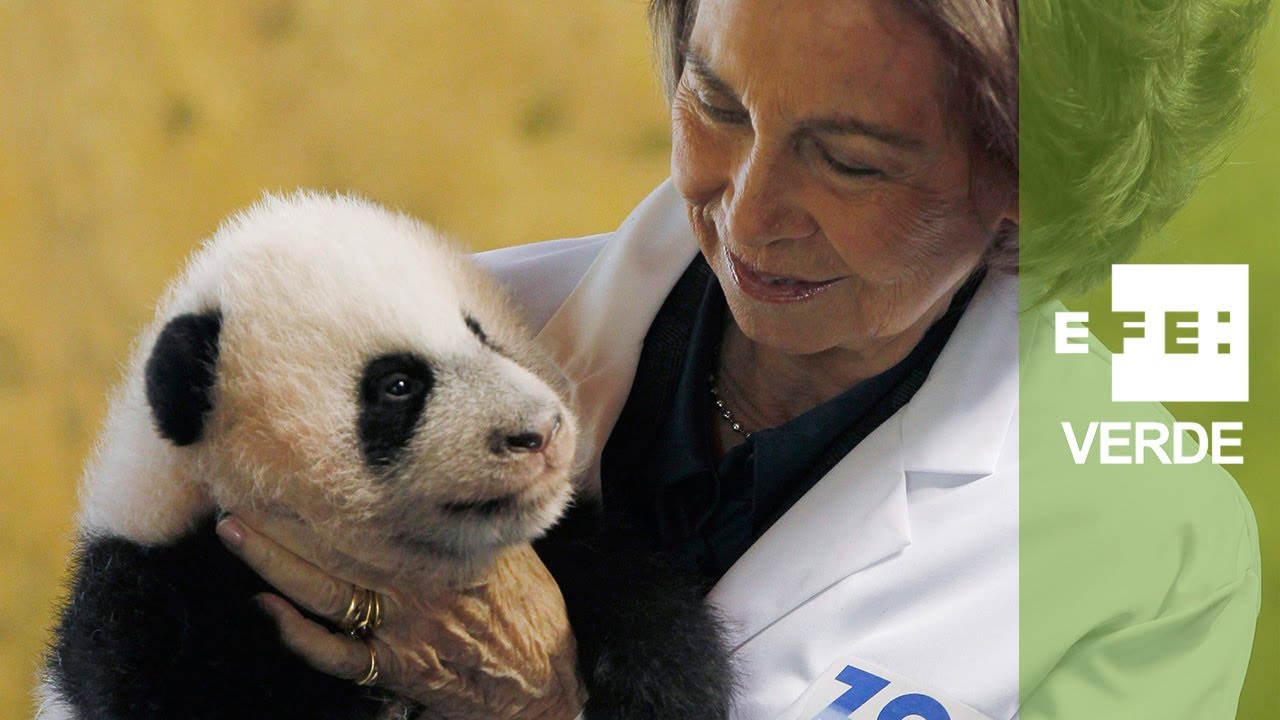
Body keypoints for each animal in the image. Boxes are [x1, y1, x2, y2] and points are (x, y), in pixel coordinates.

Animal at [39, 191, 734, 720]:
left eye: (482, 334)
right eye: (398, 384)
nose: (540, 432)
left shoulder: (563, 545)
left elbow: (630, 592)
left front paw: (668, 689)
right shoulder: (157, 609)